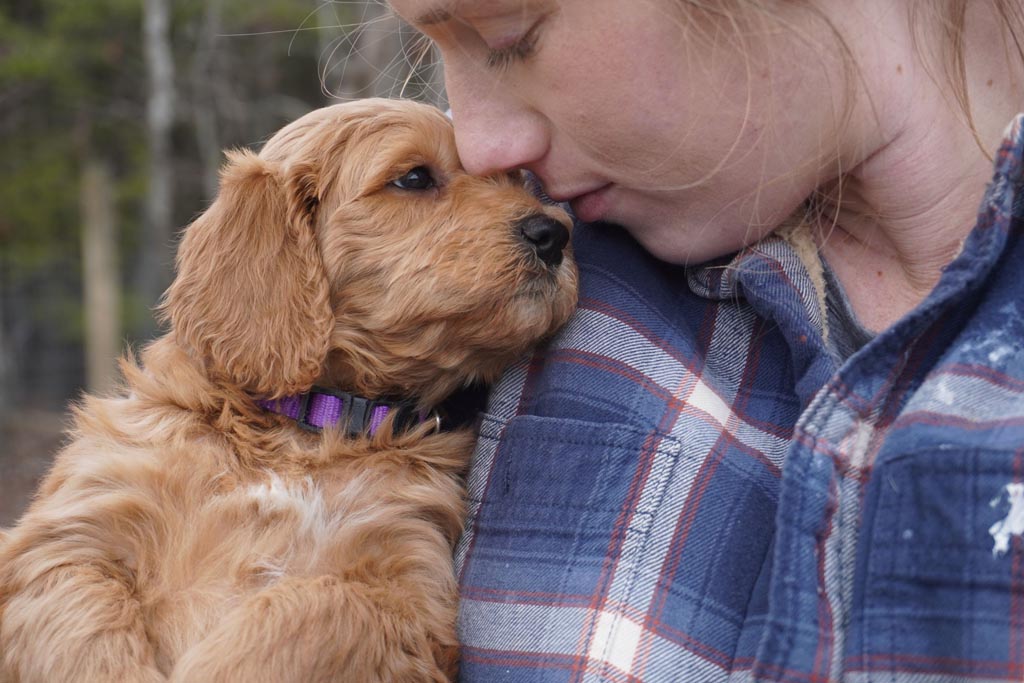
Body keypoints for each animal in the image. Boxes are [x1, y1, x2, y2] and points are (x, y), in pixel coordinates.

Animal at [0, 100, 577, 683]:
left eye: (516, 178)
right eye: (414, 178)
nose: (552, 234)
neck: (309, 424)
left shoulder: (410, 591)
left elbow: (309, 611)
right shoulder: (62, 542)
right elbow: (83, 631)